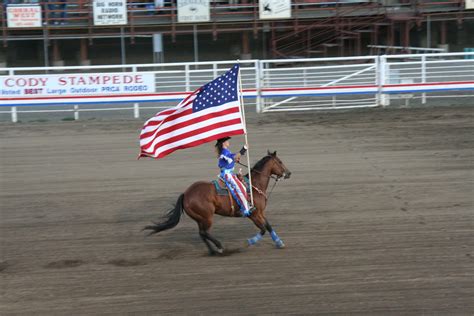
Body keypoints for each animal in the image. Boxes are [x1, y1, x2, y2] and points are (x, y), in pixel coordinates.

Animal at [144, 150, 290, 254]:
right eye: (280, 161)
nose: (289, 173)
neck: (254, 186)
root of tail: (186, 194)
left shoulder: (260, 213)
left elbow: (268, 226)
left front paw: (279, 243)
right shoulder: (253, 214)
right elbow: (263, 229)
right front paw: (249, 242)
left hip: (200, 218)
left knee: (202, 234)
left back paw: (212, 250)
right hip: (207, 217)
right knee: (204, 233)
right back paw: (219, 247)